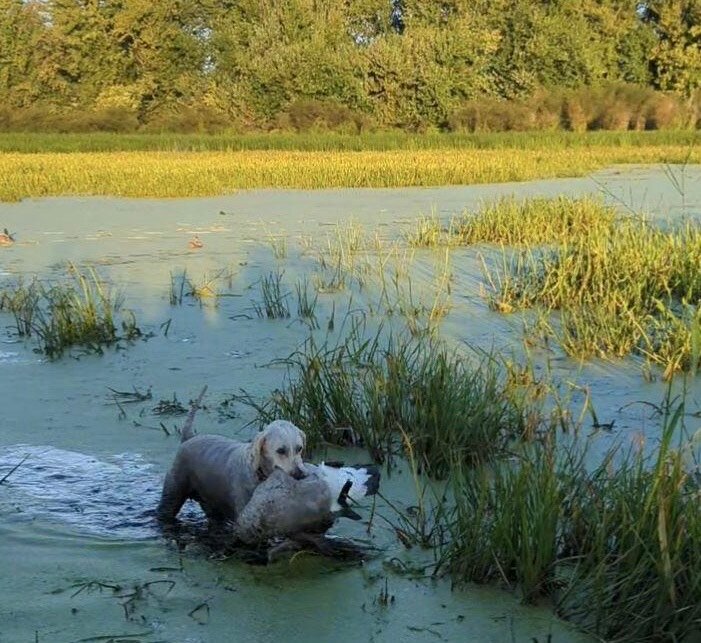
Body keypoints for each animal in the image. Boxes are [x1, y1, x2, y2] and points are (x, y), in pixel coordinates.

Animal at [159, 422, 306, 524]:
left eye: (299, 448)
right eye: (281, 450)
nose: (301, 474)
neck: (257, 472)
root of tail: (187, 439)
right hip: (172, 494)